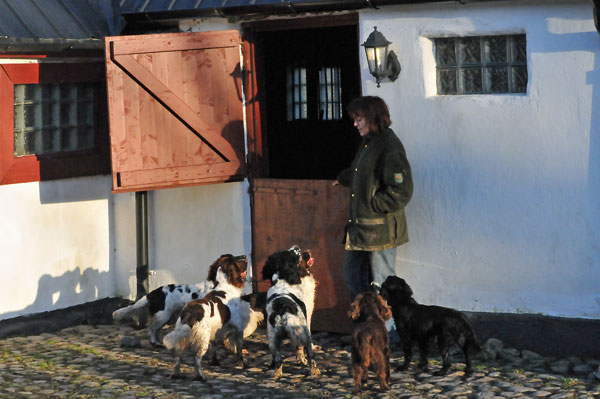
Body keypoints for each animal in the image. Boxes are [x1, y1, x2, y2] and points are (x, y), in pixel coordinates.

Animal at [112, 256, 248, 346]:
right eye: (235, 260)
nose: (245, 257)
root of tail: (152, 293)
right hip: (163, 316)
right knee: (151, 329)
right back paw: (155, 343)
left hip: (169, 317)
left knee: (157, 330)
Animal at [262, 245, 318, 380]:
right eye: (295, 253)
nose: (297, 246)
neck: (282, 281)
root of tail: (283, 311)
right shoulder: (307, 317)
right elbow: (302, 348)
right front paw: (301, 360)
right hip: (303, 331)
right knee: (310, 354)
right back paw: (314, 371)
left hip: (273, 338)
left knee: (278, 358)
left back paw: (276, 373)